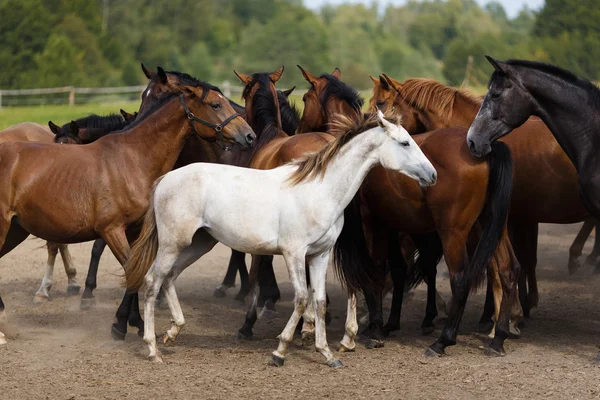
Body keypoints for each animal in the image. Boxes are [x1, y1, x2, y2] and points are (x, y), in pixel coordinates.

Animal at [0, 77, 255, 344]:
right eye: (216, 105)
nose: (249, 135)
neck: (133, 159)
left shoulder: (135, 231)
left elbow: (136, 273)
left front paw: (131, 322)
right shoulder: (112, 230)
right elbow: (134, 272)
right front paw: (125, 325)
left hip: (15, 232)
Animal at [125, 111, 436, 368]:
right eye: (405, 143)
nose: (432, 175)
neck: (319, 190)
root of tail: (165, 180)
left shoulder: (320, 255)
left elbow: (319, 300)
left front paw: (327, 354)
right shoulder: (294, 253)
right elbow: (301, 298)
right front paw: (280, 351)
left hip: (198, 244)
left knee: (169, 277)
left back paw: (172, 332)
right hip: (172, 244)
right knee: (152, 282)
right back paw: (153, 349)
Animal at [302, 71, 516, 356]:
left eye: (305, 98)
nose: (298, 130)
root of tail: (485, 150)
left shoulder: (371, 225)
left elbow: (373, 272)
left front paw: (372, 330)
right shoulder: (391, 226)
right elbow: (394, 270)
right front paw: (384, 324)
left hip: (453, 233)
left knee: (460, 280)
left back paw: (443, 340)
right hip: (492, 227)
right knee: (507, 270)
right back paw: (498, 337)